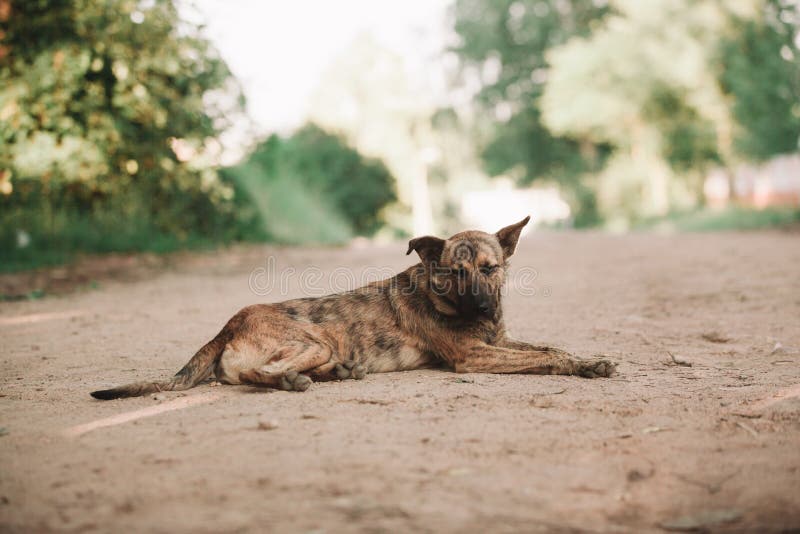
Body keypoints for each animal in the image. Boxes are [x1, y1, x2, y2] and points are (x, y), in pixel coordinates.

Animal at [94, 216, 616, 400]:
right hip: (313, 341)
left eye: (489, 268)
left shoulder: (500, 341)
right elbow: (545, 359)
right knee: (260, 376)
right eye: (453, 273)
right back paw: (294, 382)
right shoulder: (475, 356)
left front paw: (588, 359)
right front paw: (581, 365)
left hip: (321, 348)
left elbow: (549, 347)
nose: (482, 308)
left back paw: (341, 374)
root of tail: (229, 324)